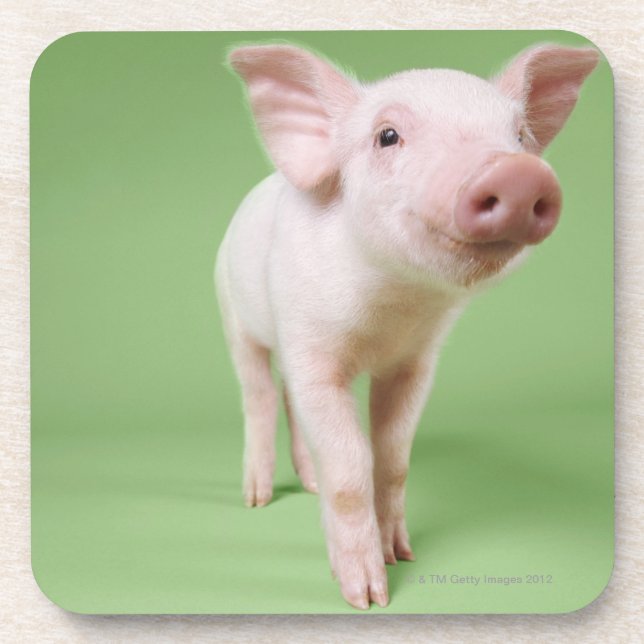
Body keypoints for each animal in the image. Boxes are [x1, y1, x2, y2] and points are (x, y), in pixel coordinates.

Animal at [214, 42, 599, 610]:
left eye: (519, 136)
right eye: (387, 135)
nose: (517, 172)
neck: (392, 307)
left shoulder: (415, 362)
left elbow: (393, 458)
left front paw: (403, 556)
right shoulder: (311, 348)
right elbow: (350, 465)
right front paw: (367, 597)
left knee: (286, 401)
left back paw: (308, 486)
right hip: (233, 314)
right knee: (259, 396)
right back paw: (258, 500)